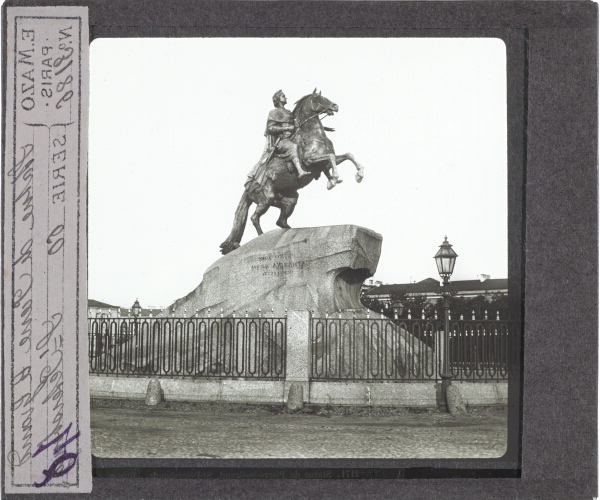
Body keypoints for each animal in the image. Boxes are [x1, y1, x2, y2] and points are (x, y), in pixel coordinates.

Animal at [219, 90, 364, 254]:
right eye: (318, 97)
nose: (335, 106)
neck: (313, 134)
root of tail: (248, 187)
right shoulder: (310, 162)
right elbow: (332, 158)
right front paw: (332, 180)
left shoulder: (325, 162)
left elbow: (347, 155)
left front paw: (359, 174)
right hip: (266, 199)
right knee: (255, 218)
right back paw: (262, 237)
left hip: (290, 200)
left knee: (280, 221)